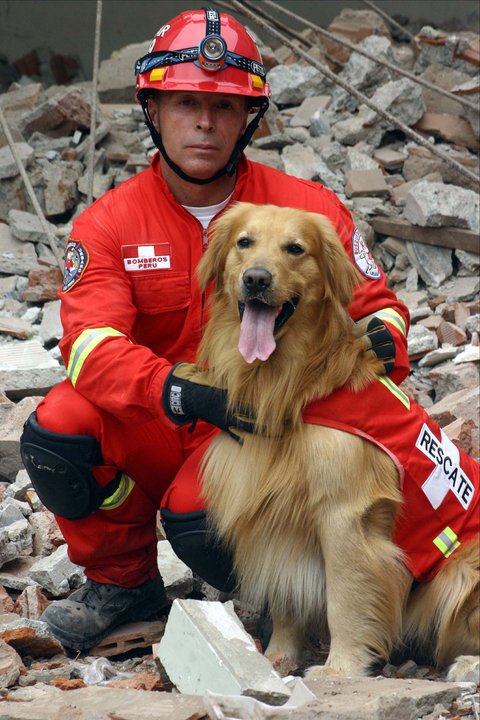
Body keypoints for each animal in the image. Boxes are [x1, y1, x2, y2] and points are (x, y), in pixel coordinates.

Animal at [196, 201, 480, 676]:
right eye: (244, 242)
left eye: (295, 249)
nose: (256, 279)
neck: (295, 389)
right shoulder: (276, 511)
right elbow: (286, 593)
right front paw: (281, 654)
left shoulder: (345, 513)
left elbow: (346, 598)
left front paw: (341, 670)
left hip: (461, 575)